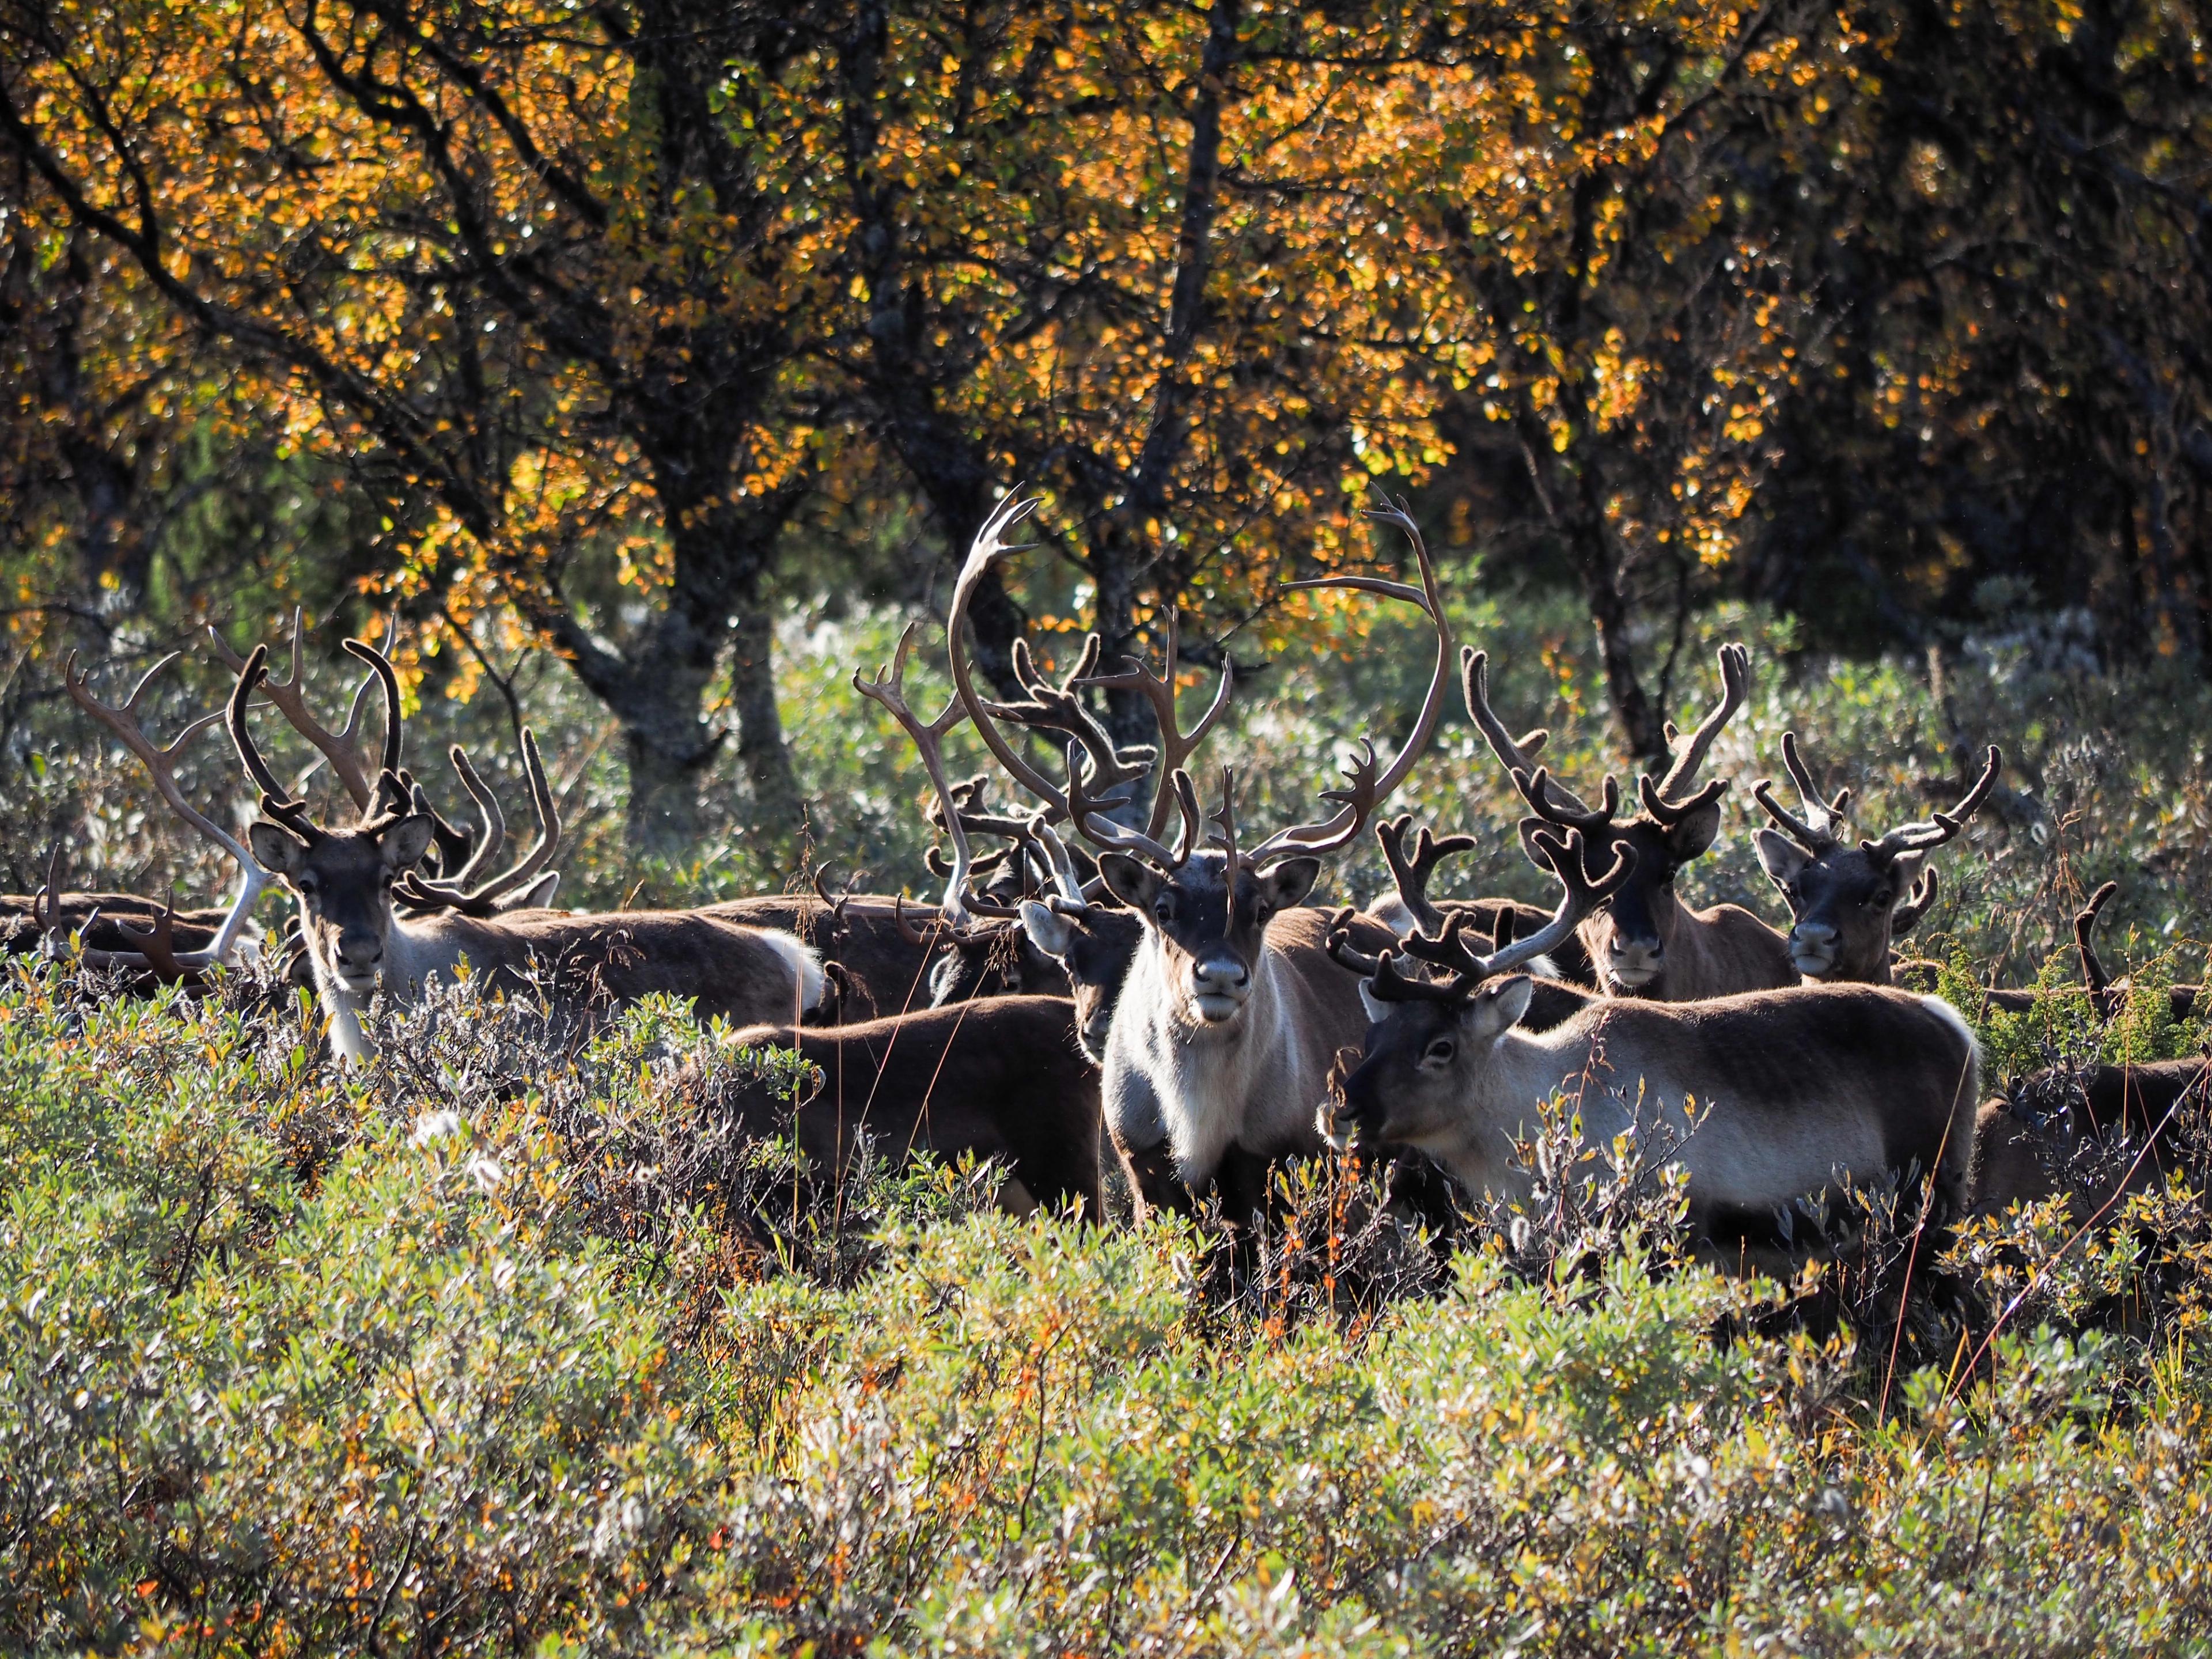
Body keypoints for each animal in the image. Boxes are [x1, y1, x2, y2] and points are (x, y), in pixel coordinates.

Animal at [945, 490, 1452, 1218]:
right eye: (1162, 907)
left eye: (1262, 909)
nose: (1219, 977)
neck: (1198, 1127)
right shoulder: (1142, 1169)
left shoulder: (1283, 1163)